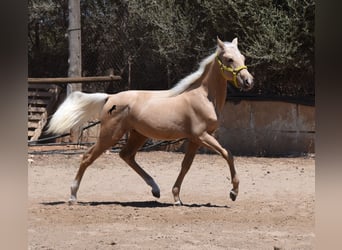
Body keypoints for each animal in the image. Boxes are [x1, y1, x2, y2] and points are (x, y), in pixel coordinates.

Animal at [49, 37, 255, 205]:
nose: (248, 81)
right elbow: (228, 154)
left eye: (243, 58)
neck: (203, 97)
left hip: (138, 135)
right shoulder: (202, 135)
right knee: (87, 157)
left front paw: (176, 197)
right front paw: (233, 192)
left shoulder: (196, 139)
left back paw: (155, 189)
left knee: (126, 155)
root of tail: (110, 98)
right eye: (229, 59)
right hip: (110, 135)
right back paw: (73, 196)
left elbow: (186, 165)